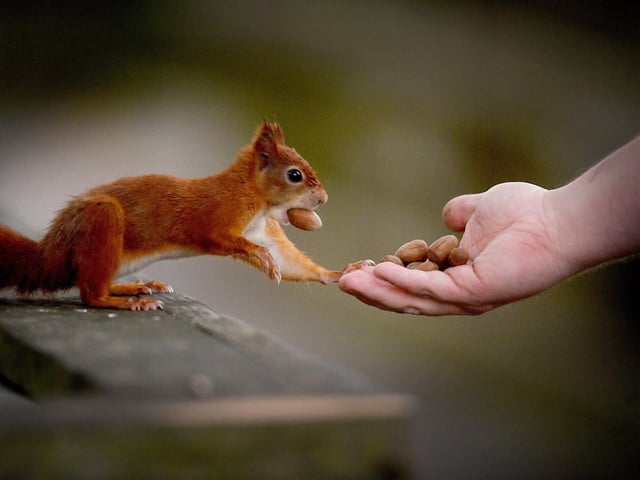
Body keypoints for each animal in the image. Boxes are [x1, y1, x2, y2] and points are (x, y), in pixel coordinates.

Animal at [0, 121, 367, 311]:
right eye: (294, 175)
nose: (323, 198)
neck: (257, 200)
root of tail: (50, 251)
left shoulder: (264, 228)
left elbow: (289, 260)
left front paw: (341, 272)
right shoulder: (219, 214)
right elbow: (219, 237)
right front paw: (262, 257)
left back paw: (137, 286)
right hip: (102, 222)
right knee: (89, 293)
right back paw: (125, 302)